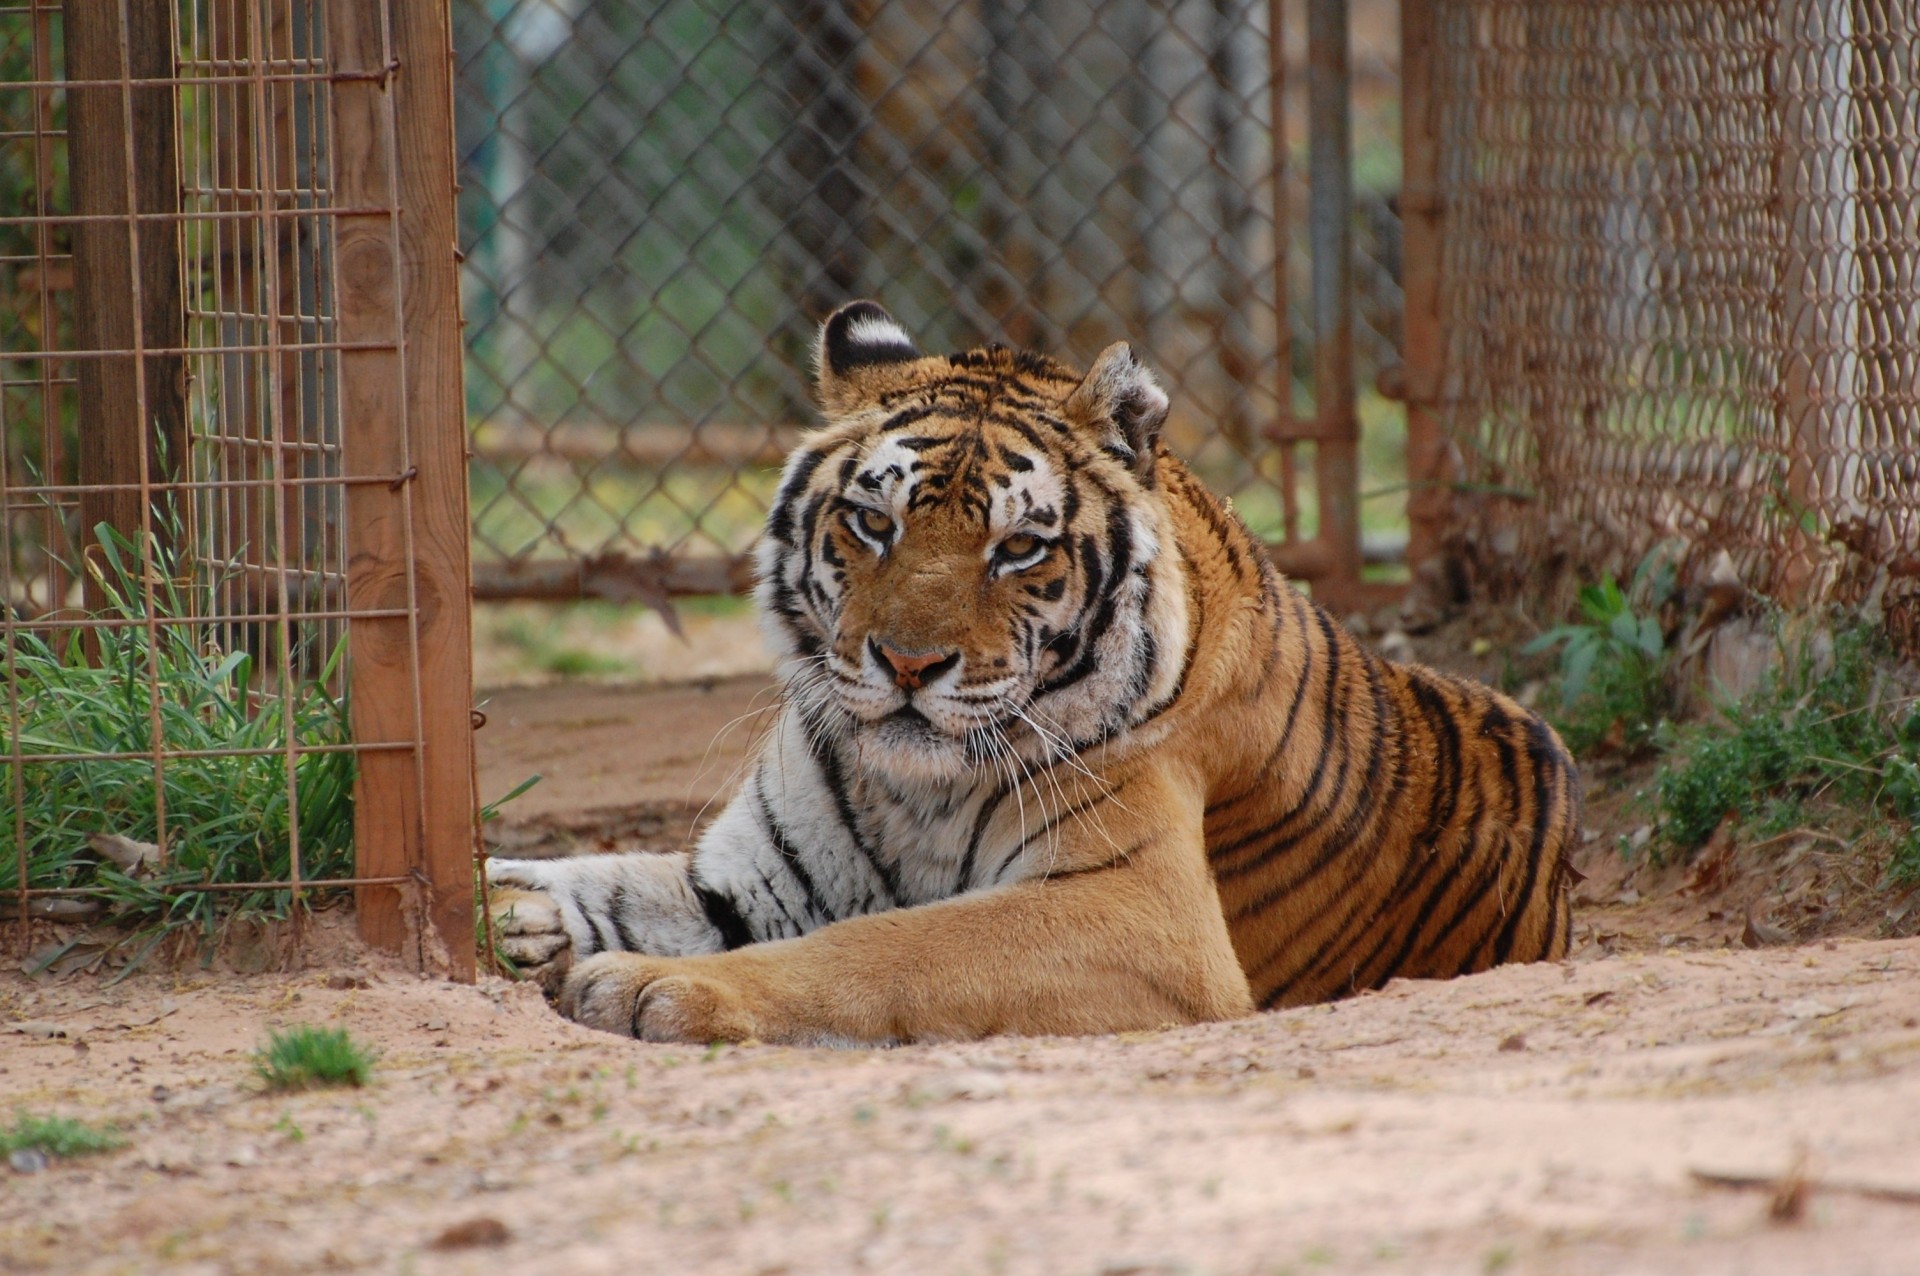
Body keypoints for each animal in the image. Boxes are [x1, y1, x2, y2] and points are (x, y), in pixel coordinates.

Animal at [485, 301, 1578, 1045]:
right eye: (872, 522)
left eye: (1017, 549)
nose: (909, 664)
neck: (908, 792)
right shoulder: (747, 879)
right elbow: (606, 879)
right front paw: (513, 906)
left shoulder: (1136, 914)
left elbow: (888, 946)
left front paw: (646, 986)